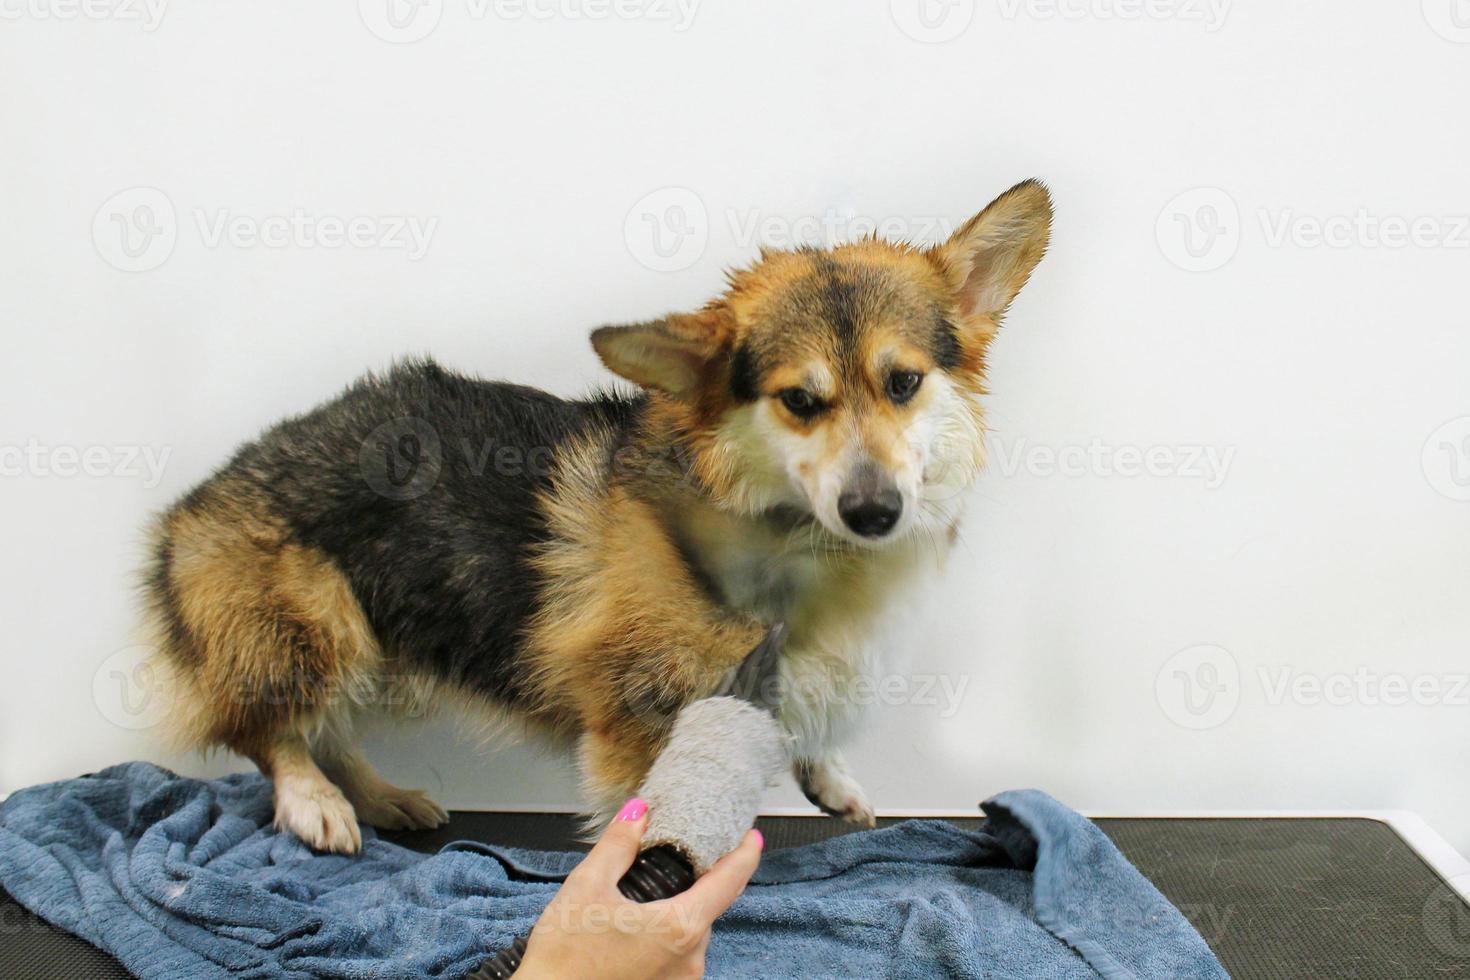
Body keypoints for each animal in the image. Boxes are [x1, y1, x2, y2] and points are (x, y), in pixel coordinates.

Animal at [143, 179, 1052, 852]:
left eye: (903, 382)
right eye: (799, 401)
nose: (873, 510)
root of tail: (189, 504)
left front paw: (828, 779)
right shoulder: (634, 717)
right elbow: (651, 824)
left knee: (325, 730)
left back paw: (380, 796)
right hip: (320, 629)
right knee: (268, 729)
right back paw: (317, 803)